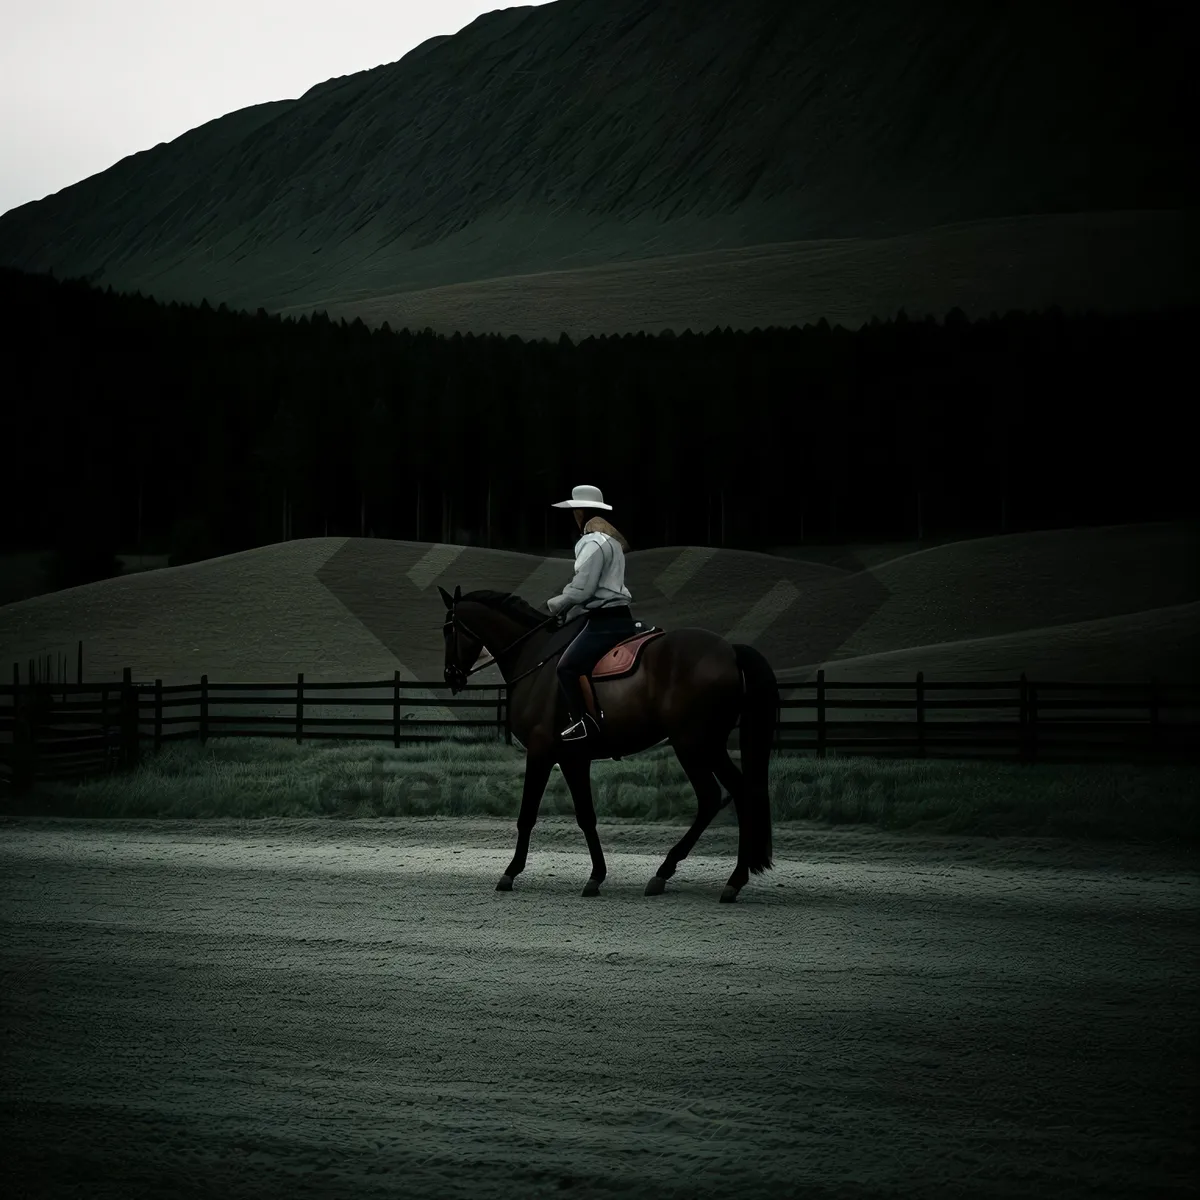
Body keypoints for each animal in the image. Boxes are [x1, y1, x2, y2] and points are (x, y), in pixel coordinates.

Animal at [441, 580, 777, 902]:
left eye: (448, 630)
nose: (450, 676)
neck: (534, 657)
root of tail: (730, 650)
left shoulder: (540, 752)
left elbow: (527, 815)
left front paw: (510, 873)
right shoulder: (572, 758)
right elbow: (586, 816)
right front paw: (596, 876)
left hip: (692, 743)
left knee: (713, 797)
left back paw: (698, 875)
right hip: (709, 745)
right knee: (735, 793)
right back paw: (714, 877)